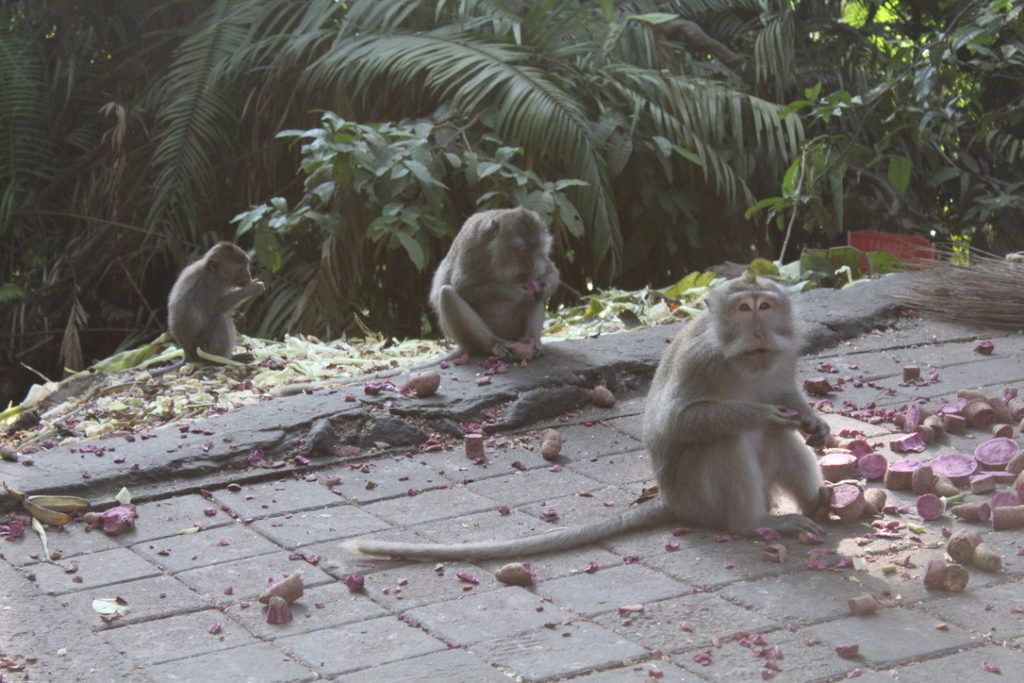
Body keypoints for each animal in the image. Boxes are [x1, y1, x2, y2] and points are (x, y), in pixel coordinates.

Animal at [341, 270, 831, 561]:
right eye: (744, 308)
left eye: (766, 307)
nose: (758, 331)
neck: (747, 361)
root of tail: (674, 501)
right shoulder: (703, 361)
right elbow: (677, 423)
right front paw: (766, 413)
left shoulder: (781, 358)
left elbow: (788, 397)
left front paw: (811, 419)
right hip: (699, 495)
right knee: (725, 438)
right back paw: (755, 523)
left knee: (776, 442)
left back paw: (818, 503)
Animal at [427, 207, 559, 363]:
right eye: (521, 249)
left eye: (536, 247)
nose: (531, 265)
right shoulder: (473, 243)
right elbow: (462, 287)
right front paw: (514, 292)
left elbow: (550, 273)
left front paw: (545, 288)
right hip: (469, 340)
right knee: (447, 293)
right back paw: (495, 344)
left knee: (536, 296)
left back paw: (533, 339)